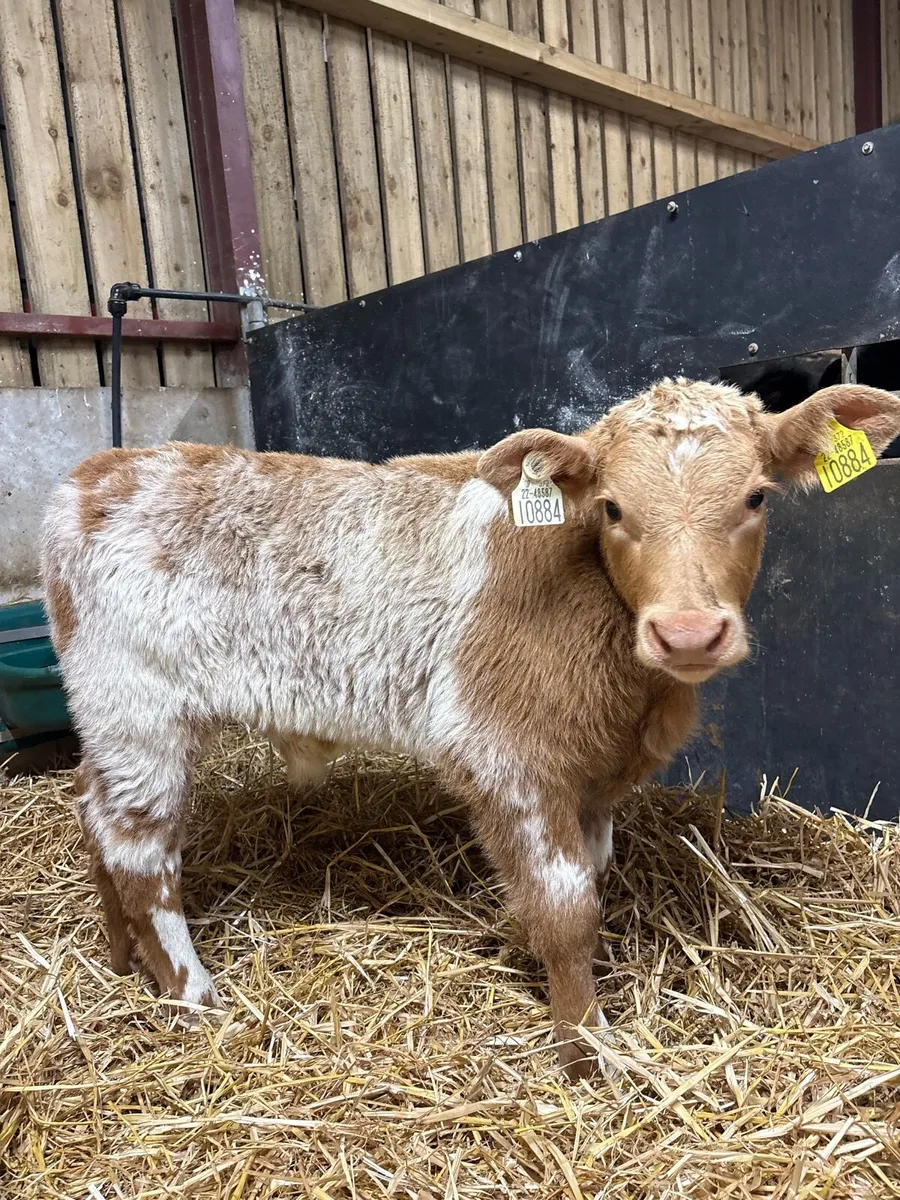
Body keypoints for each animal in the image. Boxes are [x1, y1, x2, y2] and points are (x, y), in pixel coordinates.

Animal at [40, 378, 900, 1079]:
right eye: (613, 507)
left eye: (756, 498)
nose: (689, 633)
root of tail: (93, 476)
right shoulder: (507, 759)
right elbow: (565, 909)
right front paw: (585, 1049)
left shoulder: (591, 778)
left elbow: (593, 877)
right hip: (139, 712)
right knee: (140, 853)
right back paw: (192, 994)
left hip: (109, 721)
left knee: (92, 810)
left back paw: (120, 959)